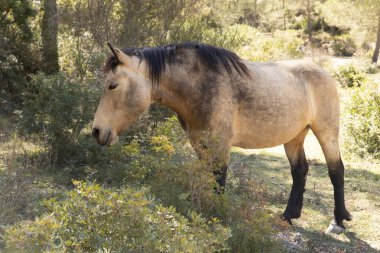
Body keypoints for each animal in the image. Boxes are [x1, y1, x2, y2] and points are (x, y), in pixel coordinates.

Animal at [90, 42, 352, 233]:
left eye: (113, 85)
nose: (97, 131)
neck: (202, 86)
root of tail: (323, 72)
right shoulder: (200, 144)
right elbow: (206, 179)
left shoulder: (221, 146)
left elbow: (218, 181)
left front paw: (215, 217)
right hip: (294, 136)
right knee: (300, 171)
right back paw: (288, 216)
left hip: (326, 132)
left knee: (336, 170)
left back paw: (337, 221)